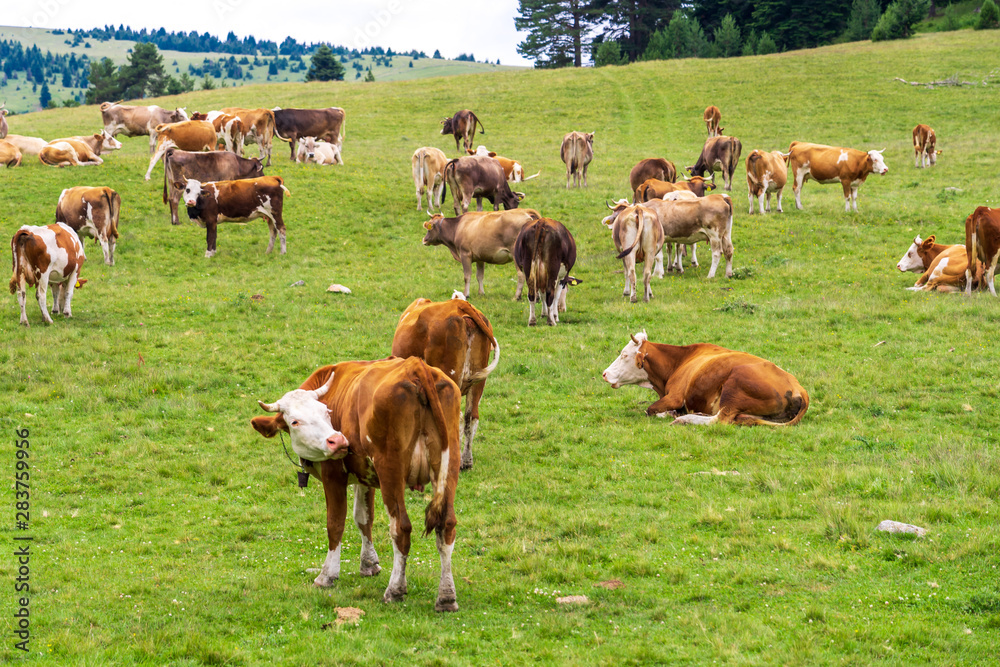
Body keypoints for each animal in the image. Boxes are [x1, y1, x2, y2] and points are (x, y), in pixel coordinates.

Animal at [250, 358, 462, 611]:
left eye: (326, 412)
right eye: (295, 421)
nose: (338, 440)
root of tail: (415, 366)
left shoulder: (333, 475)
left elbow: (335, 523)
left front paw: (327, 575)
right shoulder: (366, 477)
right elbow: (363, 518)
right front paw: (369, 564)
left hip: (391, 471)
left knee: (400, 528)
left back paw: (395, 590)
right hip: (449, 467)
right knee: (446, 526)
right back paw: (446, 596)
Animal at [603, 331, 809, 426]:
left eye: (624, 355)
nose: (604, 374)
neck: (679, 360)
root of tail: (798, 387)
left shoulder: (674, 396)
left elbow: (650, 410)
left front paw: (672, 414)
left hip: (734, 387)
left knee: (719, 420)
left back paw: (685, 419)